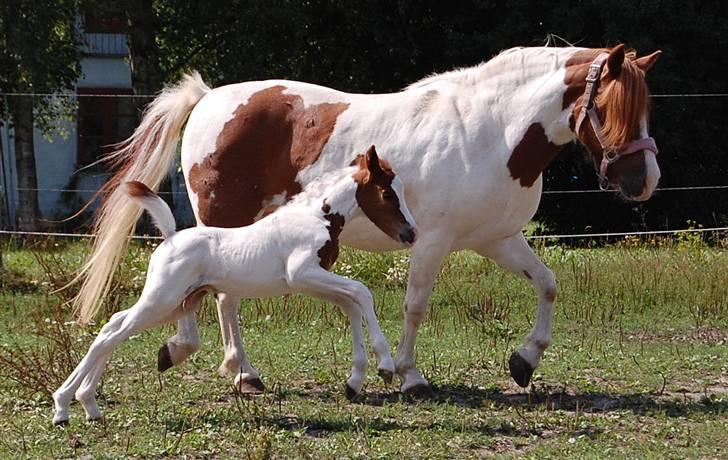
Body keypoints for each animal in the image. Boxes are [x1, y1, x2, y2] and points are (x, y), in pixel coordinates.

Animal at [52, 146, 416, 424]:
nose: (410, 233)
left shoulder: (314, 282)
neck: (318, 217)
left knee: (113, 327)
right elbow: (362, 293)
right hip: (162, 299)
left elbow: (352, 305)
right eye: (387, 193)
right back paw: (63, 406)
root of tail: (170, 238)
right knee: (110, 333)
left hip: (174, 304)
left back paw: (87, 404)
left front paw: (355, 381)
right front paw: (385, 366)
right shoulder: (303, 273)